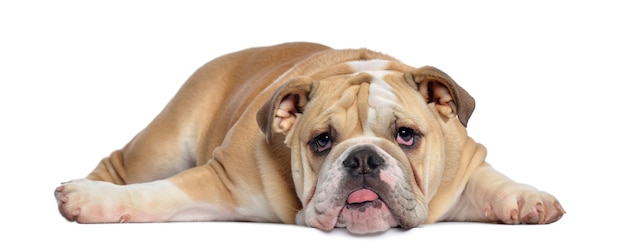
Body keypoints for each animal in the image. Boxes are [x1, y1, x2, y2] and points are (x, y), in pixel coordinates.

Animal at [53, 41, 564, 234]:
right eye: (321, 141)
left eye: (406, 135)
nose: (363, 158)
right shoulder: (221, 180)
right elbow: (158, 194)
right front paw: (96, 202)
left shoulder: (462, 167)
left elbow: (490, 180)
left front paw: (530, 200)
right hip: (162, 142)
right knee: (123, 166)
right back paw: (90, 187)